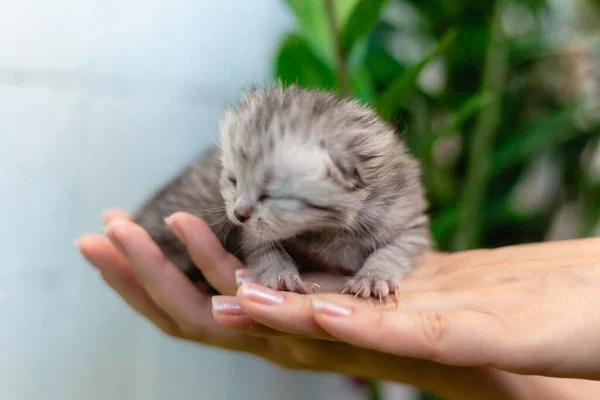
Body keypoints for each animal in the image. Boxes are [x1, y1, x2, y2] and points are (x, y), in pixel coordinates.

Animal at [134, 83, 428, 296]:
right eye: (233, 180)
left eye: (270, 195)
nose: (238, 214)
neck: (327, 229)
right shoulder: (252, 233)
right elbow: (264, 250)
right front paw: (282, 276)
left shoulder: (410, 222)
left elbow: (393, 251)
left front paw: (374, 276)